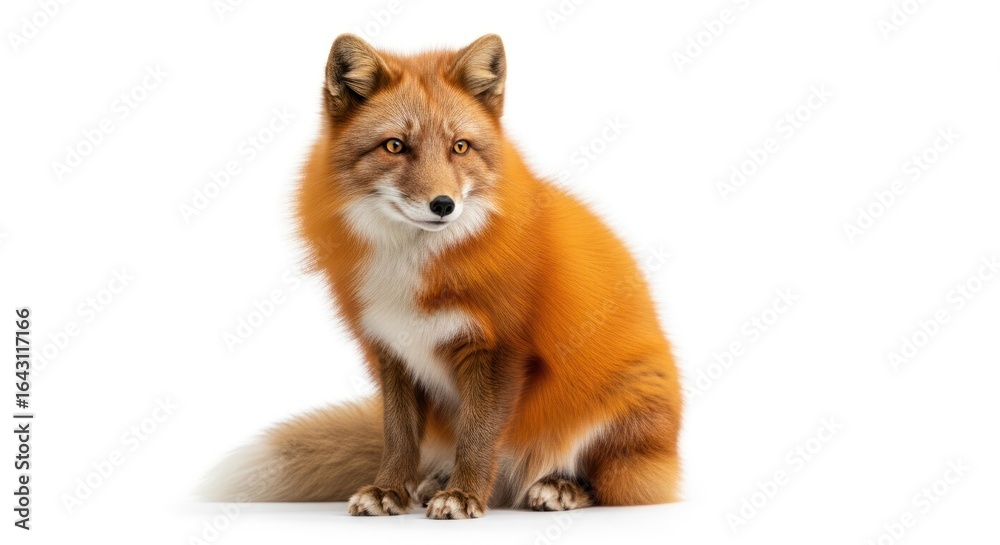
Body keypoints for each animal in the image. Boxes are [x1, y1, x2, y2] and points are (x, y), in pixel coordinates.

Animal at [201, 33, 682, 519]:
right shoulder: (392, 350)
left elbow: (479, 436)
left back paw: (557, 487)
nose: (443, 205)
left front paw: (465, 495)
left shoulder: (501, 351)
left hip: (616, 410)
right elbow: (397, 437)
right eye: (395, 146)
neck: (412, 267)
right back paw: (437, 482)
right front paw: (389, 490)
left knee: (613, 483)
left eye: (461, 147)